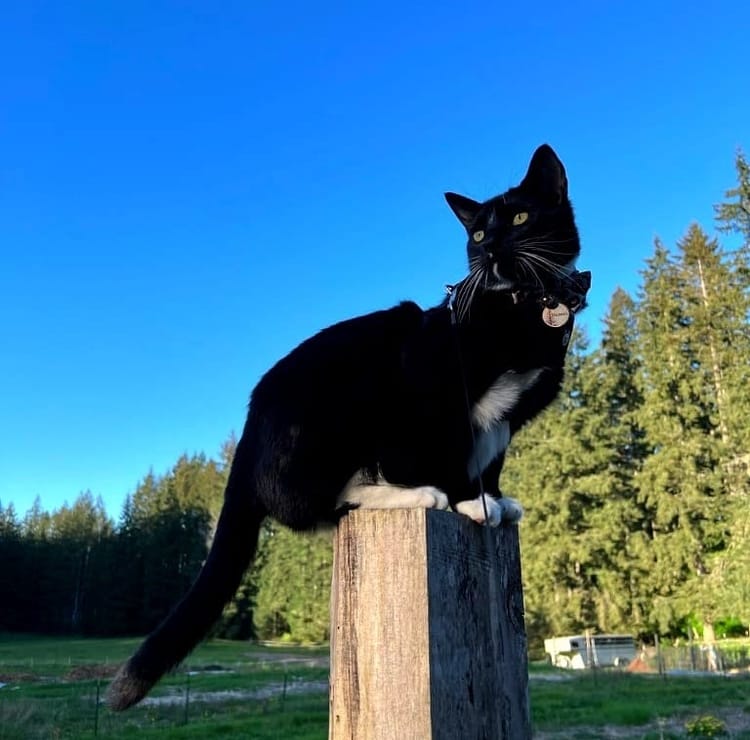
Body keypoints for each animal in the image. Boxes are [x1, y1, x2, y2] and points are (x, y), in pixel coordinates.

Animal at [107, 143, 588, 712]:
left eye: (518, 218)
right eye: (475, 235)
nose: (489, 250)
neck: (524, 310)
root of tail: (248, 433)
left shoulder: (505, 421)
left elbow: (490, 459)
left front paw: (493, 497)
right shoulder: (435, 385)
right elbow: (453, 450)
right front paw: (469, 502)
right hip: (343, 407)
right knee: (326, 505)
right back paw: (415, 494)